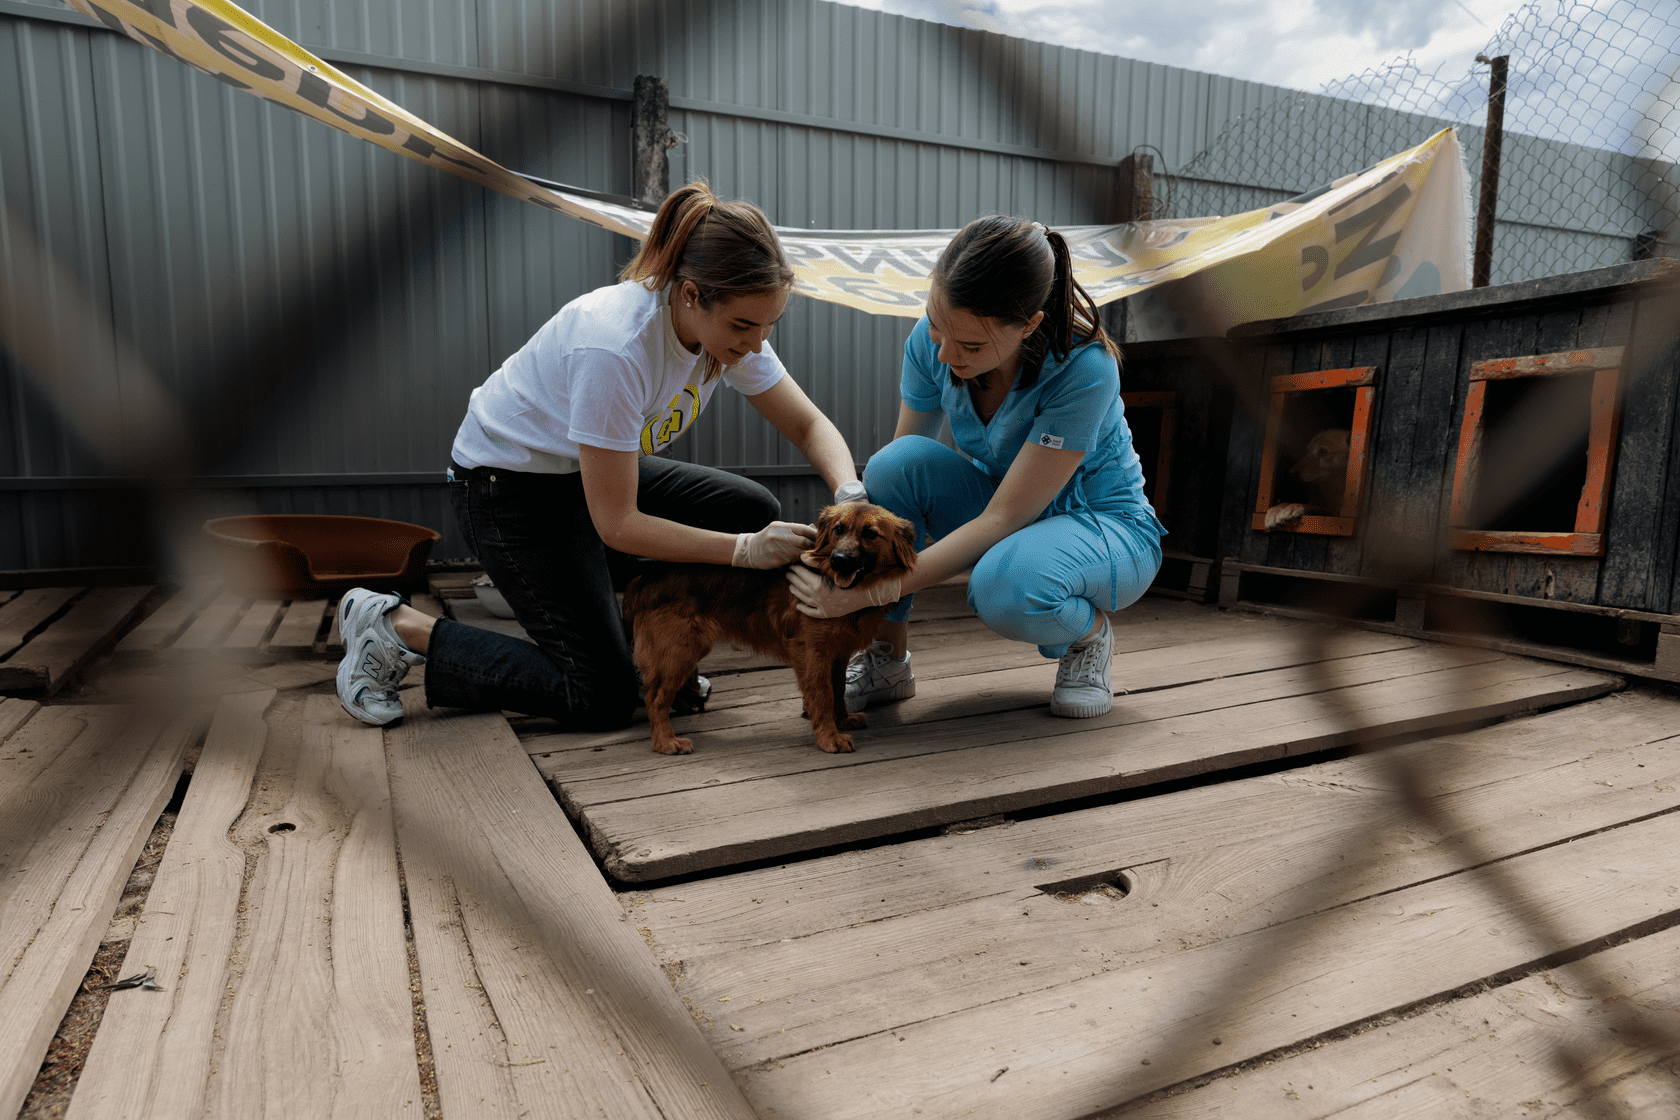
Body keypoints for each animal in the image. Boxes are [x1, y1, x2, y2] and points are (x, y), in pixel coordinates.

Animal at [623, 502, 917, 756]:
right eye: (838, 530)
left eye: (870, 534)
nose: (839, 560)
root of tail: (644, 579)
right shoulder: (813, 653)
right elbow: (823, 695)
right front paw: (828, 737)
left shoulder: (838, 653)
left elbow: (839, 688)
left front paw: (842, 719)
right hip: (679, 652)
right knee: (654, 699)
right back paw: (666, 742)